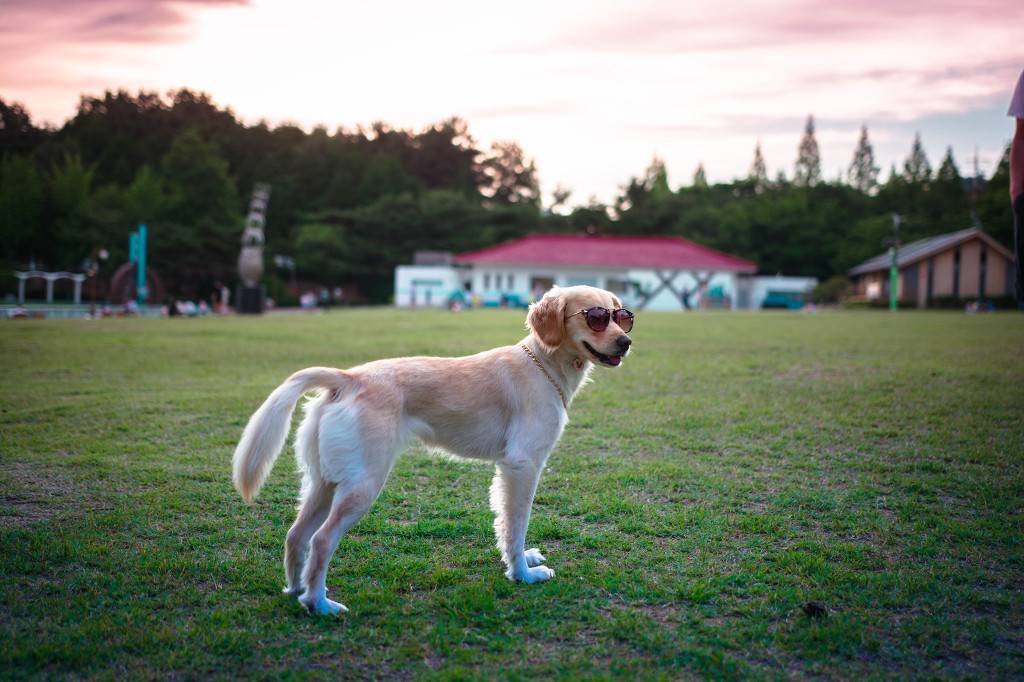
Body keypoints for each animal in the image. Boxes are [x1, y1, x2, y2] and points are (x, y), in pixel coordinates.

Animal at [232, 284, 630, 614]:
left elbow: (507, 526)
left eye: (622, 315)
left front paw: (523, 563)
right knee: (321, 541)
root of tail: (349, 378)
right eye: (596, 317)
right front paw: (521, 574)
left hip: (324, 483)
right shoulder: (522, 466)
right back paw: (319, 604)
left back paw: (296, 591)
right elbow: (515, 526)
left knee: (296, 535)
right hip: (363, 485)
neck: (543, 364)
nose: (626, 342)